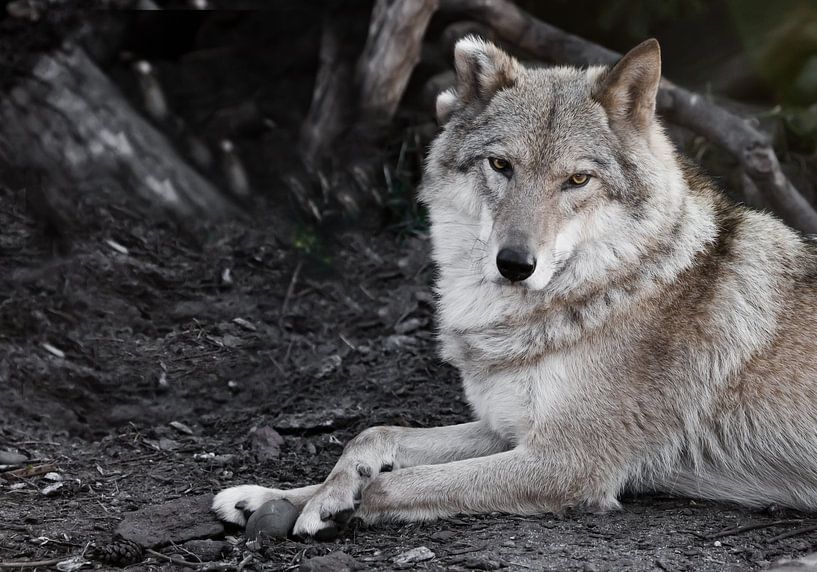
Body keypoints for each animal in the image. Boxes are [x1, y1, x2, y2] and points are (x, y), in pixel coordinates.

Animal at [213, 37, 817, 537]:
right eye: (501, 165)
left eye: (577, 179)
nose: (514, 264)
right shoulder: (507, 430)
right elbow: (373, 433)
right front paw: (277, 497)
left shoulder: (566, 459)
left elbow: (388, 483)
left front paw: (341, 505)